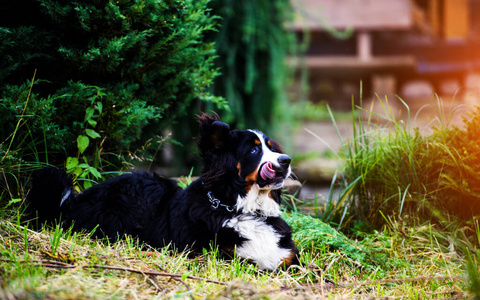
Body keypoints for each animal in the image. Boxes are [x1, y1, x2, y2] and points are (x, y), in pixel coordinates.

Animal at [26, 112, 298, 270]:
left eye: (272, 148)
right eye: (253, 150)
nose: (286, 160)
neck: (239, 208)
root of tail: (76, 201)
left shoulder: (288, 258)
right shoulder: (224, 257)